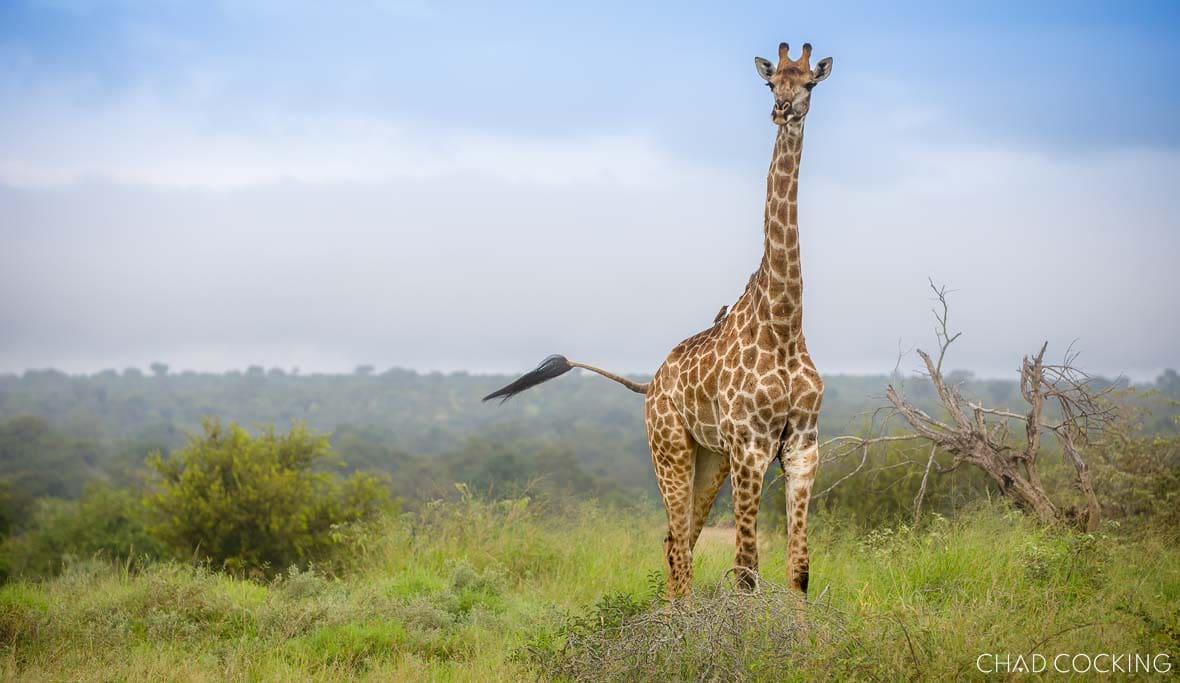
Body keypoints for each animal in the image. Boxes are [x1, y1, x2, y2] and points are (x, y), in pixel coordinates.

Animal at [484, 41, 832, 597]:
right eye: (770, 81)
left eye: (809, 83)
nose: (782, 109)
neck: (784, 323)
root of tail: (650, 385)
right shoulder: (752, 446)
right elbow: (746, 571)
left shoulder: (802, 446)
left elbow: (798, 570)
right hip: (670, 448)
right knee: (677, 547)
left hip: (709, 458)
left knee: (678, 542)